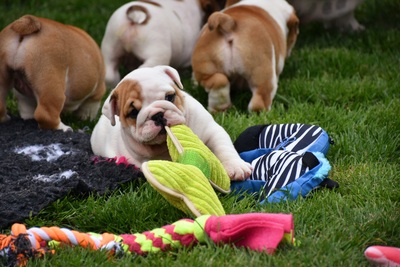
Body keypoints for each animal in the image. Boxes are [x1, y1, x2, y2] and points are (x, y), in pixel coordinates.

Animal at [92, 65, 252, 181]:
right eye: (133, 112)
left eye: (170, 97)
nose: (157, 115)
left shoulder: (211, 130)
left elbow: (223, 148)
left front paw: (236, 167)